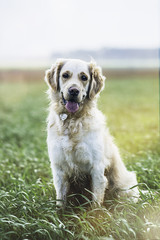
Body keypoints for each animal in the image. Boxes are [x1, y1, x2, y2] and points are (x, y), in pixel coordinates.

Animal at [44, 58, 139, 206]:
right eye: (65, 75)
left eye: (84, 77)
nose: (74, 91)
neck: (72, 121)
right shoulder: (59, 169)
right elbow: (61, 201)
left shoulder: (97, 169)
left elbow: (96, 202)